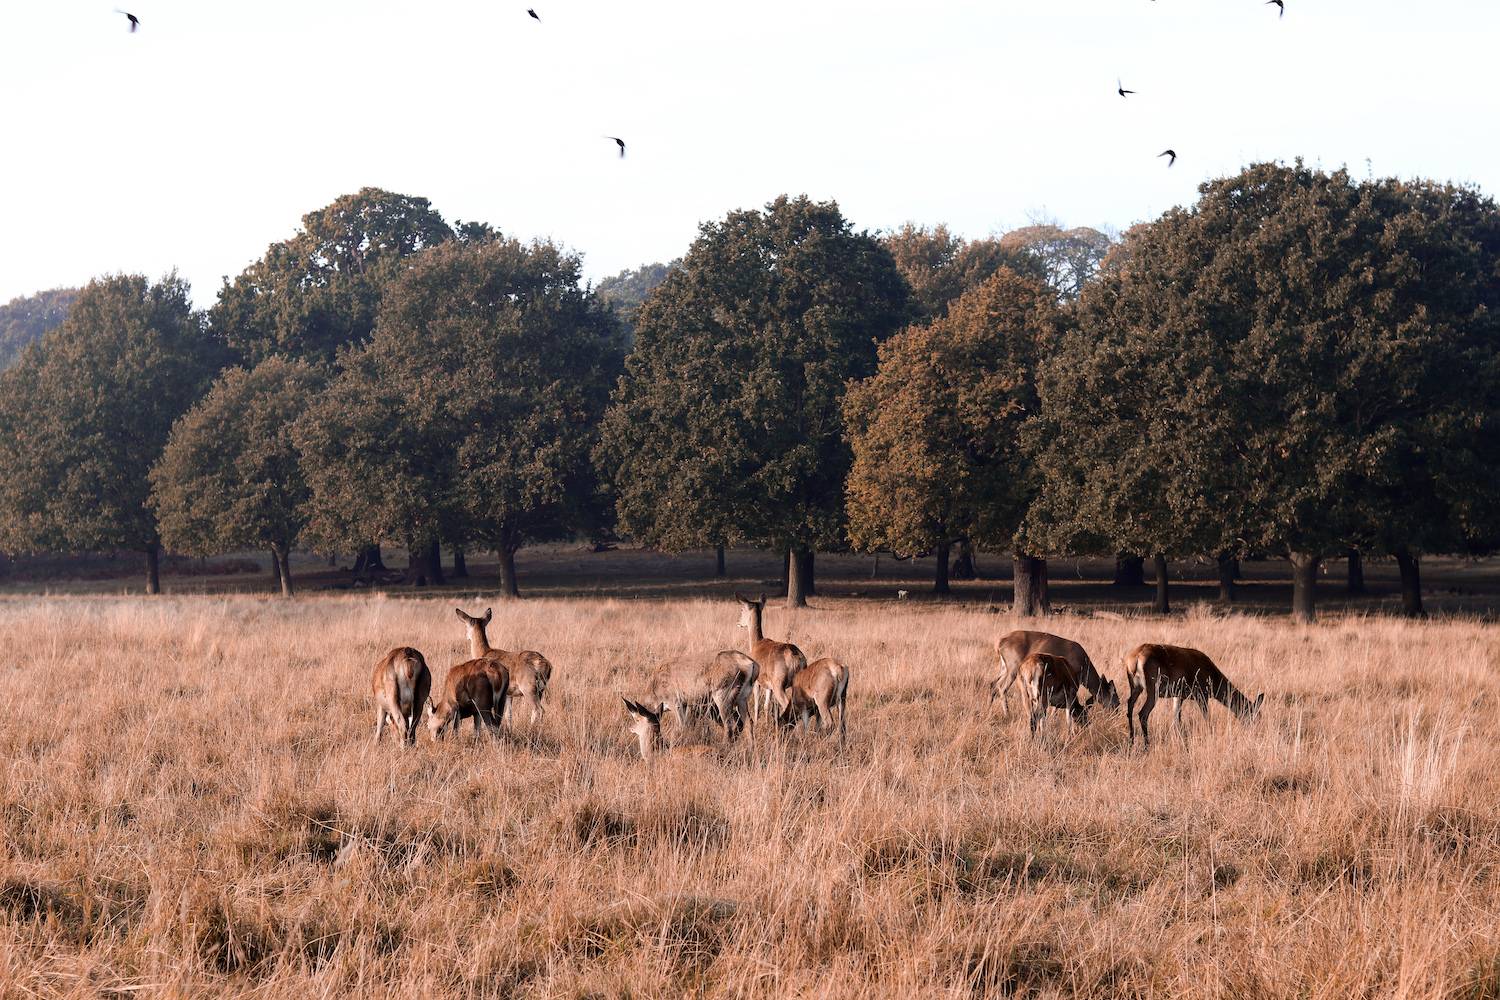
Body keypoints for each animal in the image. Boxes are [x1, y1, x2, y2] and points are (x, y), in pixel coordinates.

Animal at [732, 593, 804, 728]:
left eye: (742, 609)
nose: (738, 622)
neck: (755, 643)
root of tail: (796, 659)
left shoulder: (755, 680)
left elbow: (757, 705)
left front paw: (755, 724)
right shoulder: (768, 685)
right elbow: (766, 705)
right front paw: (766, 724)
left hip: (778, 683)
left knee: (787, 705)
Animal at [990, 629, 1122, 716]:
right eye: (1116, 699)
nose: (1116, 713)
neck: (1084, 668)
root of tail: (998, 644)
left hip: (1004, 667)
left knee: (993, 684)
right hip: (1013, 665)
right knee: (1002, 687)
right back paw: (1007, 714)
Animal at [1128, 644, 1266, 746]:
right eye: (1252, 714)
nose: (1256, 732)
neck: (1213, 677)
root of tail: (1134, 659)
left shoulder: (1178, 696)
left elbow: (1176, 719)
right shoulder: (1202, 695)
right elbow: (1206, 717)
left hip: (1136, 688)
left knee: (1129, 705)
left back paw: (1132, 740)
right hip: (1153, 690)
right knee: (1143, 713)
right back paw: (1146, 745)